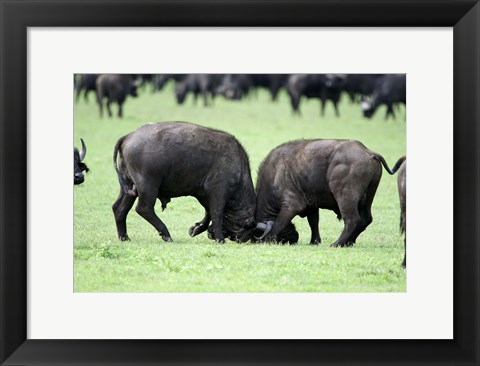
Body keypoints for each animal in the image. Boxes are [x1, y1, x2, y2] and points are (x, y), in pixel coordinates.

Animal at [112, 121, 256, 244]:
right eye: (244, 229)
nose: (239, 239)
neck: (238, 167)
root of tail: (130, 135)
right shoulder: (218, 190)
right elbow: (216, 213)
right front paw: (219, 238)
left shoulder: (203, 195)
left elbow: (208, 213)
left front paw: (196, 228)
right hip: (148, 186)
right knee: (143, 208)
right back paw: (166, 234)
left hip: (128, 186)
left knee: (119, 208)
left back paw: (124, 237)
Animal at [253, 139, 396, 246]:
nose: (294, 238)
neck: (274, 174)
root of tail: (367, 151)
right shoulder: (311, 205)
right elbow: (313, 222)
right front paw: (314, 241)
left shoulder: (291, 205)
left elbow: (278, 223)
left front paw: (269, 239)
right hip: (368, 197)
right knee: (366, 219)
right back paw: (349, 242)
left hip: (345, 196)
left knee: (353, 219)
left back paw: (337, 243)